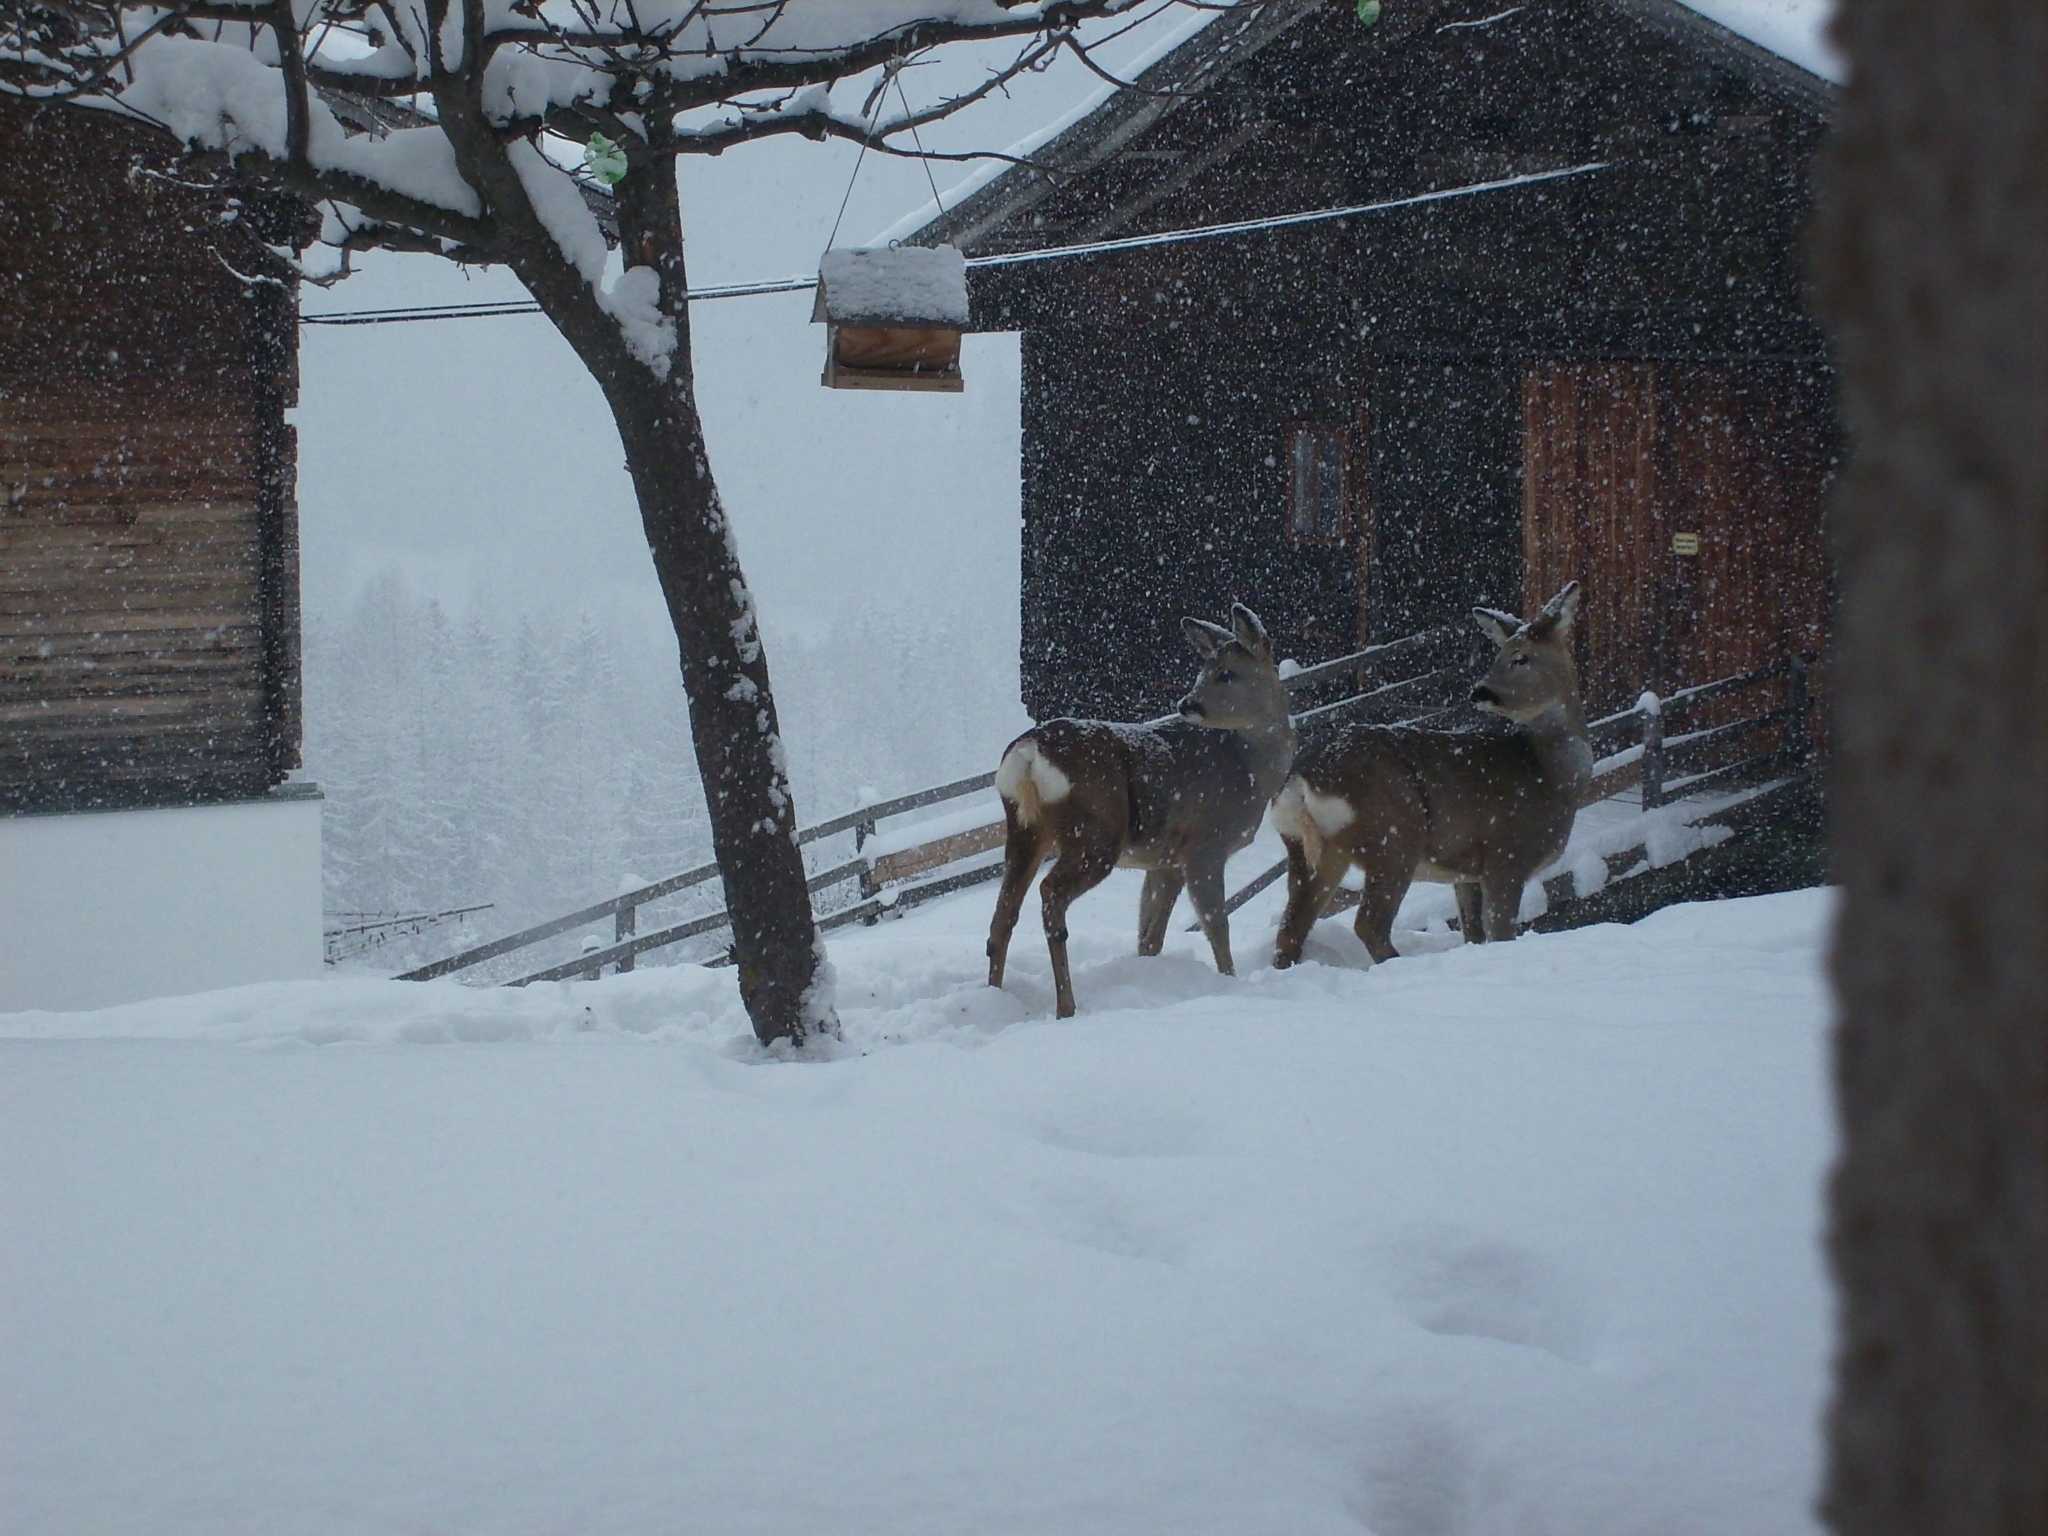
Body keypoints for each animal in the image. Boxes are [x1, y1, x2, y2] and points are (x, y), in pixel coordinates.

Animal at [986, 603, 1296, 1019]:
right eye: (1205, 670)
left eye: (1226, 672)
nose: (1187, 704)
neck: (1252, 772)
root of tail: (1028, 754)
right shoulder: (1205, 846)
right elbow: (1216, 924)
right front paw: (1230, 982)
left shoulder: (1164, 860)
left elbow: (1149, 936)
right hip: (1096, 832)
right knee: (1050, 893)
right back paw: (1066, 1006)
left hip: (1024, 828)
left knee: (1003, 914)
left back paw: (994, 997)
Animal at [1271, 582, 1590, 970]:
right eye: (1501, 654)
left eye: (1521, 657)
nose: (1480, 691)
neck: (1552, 776)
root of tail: (1301, 777)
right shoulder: (1506, 854)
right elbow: (1500, 932)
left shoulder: (1467, 871)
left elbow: (1474, 933)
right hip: (1393, 836)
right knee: (1369, 923)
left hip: (1309, 847)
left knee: (1291, 927)